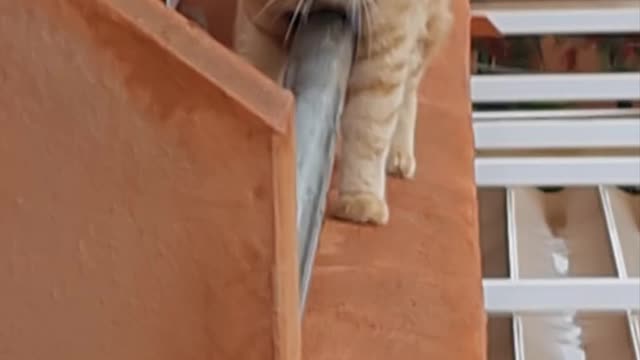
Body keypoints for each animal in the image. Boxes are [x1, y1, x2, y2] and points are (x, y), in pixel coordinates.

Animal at [234, 0, 450, 224]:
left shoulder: (384, 40)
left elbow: (370, 129)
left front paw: (362, 198)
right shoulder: (261, 24)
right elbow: (259, 78)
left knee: (409, 88)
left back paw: (400, 155)